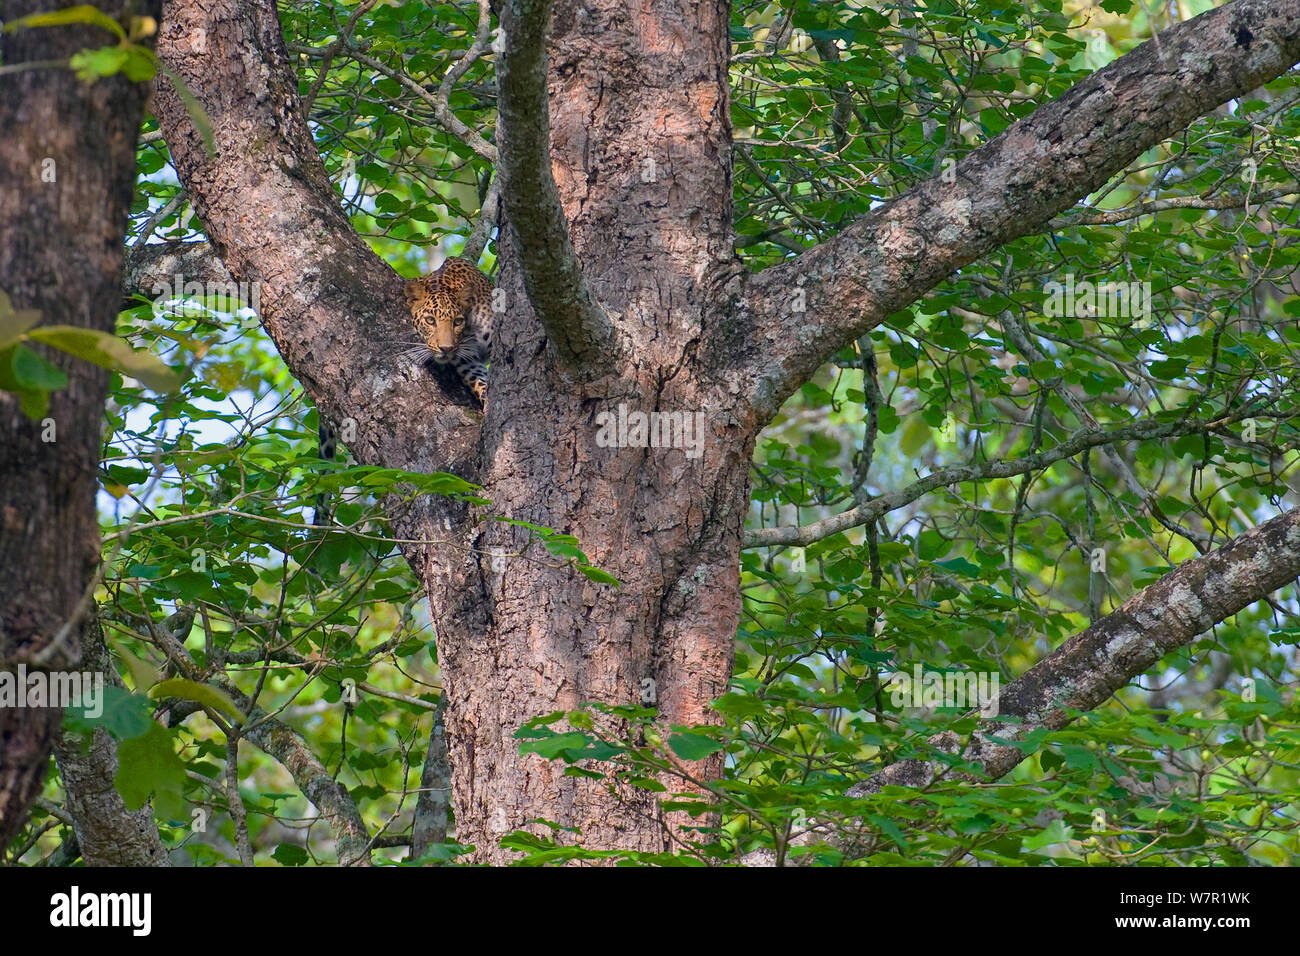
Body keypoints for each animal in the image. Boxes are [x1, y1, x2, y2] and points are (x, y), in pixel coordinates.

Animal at [403, 256, 493, 403]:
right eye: (430, 320)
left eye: (458, 322)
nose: (446, 349)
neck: (469, 331)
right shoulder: (468, 361)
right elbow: (479, 382)